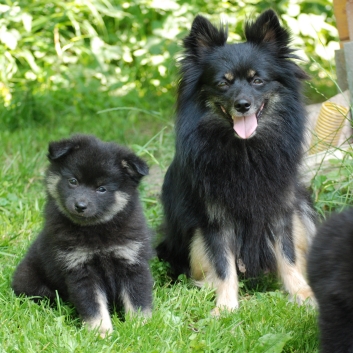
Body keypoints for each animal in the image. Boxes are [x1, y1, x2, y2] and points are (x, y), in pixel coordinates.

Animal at [12, 133, 153, 336]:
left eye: (101, 189)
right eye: (73, 181)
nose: (80, 206)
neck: (96, 229)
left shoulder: (132, 261)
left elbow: (137, 300)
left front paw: (141, 327)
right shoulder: (80, 268)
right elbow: (94, 306)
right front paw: (101, 332)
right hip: (30, 279)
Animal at [157, 8, 316, 310]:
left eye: (257, 80)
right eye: (223, 83)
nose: (243, 105)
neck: (245, 151)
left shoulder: (281, 211)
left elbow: (288, 254)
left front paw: (303, 295)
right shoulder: (214, 220)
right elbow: (223, 265)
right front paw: (225, 307)